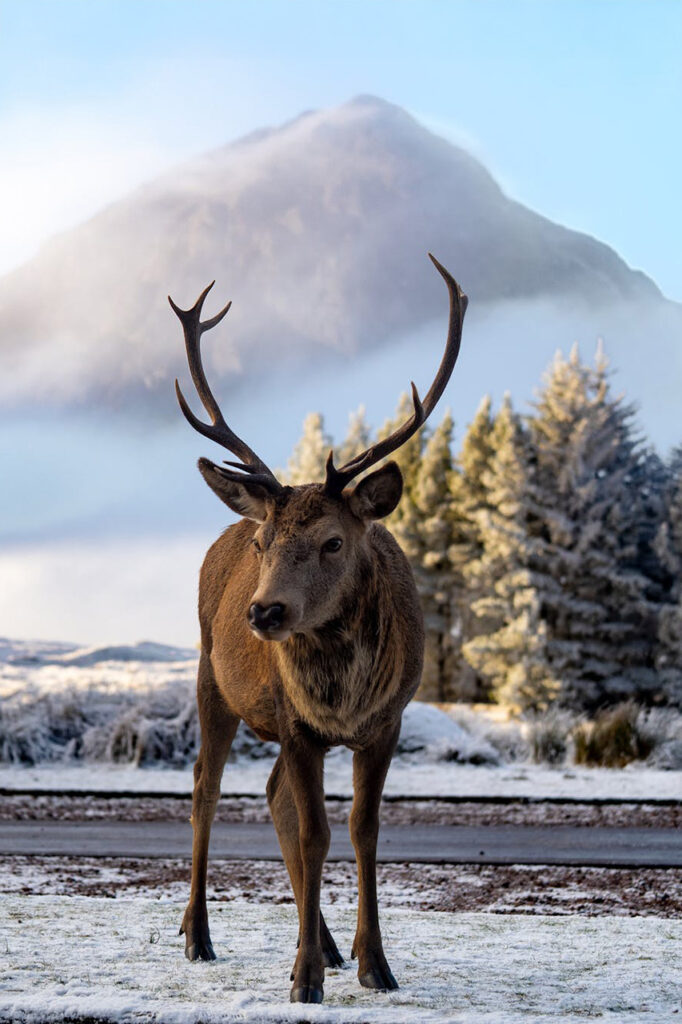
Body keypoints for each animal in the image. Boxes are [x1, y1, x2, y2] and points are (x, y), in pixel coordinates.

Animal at [169, 251, 466, 1003]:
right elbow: (315, 834)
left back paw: (328, 944)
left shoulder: (386, 723)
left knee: (273, 796)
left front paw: (373, 963)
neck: (344, 696)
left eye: (334, 541)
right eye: (265, 542)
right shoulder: (297, 722)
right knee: (206, 788)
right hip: (212, 678)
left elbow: (362, 831)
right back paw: (199, 935)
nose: (264, 611)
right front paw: (303, 978)